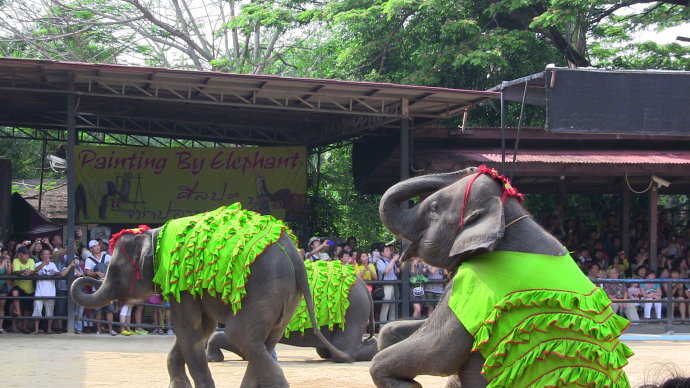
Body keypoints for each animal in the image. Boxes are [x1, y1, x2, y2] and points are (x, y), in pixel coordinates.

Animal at [70, 203, 344, 388]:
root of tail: (297, 259)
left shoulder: (183, 284)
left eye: (115, 269)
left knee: (241, 335)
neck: (156, 235)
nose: (88, 277)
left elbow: (189, 329)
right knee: (263, 342)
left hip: (266, 289)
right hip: (286, 299)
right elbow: (201, 330)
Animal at [368, 167, 632, 388]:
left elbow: (437, 351)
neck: (508, 217)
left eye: (433, 208)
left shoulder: (473, 281)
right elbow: (400, 330)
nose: (472, 167)